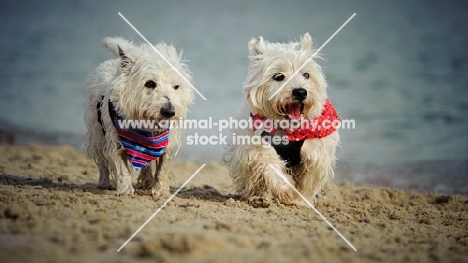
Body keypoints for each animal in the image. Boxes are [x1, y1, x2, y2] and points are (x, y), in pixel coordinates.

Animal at [224, 33, 338, 205]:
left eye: (306, 75)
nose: (300, 92)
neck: (289, 130)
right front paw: (285, 190)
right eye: (278, 76)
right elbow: (269, 164)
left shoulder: (316, 151)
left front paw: (300, 201)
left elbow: (309, 180)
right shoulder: (255, 146)